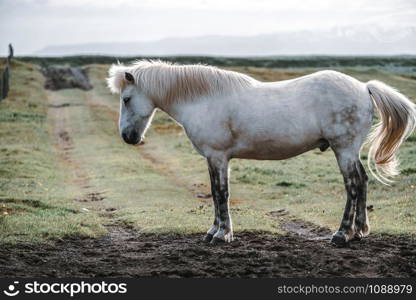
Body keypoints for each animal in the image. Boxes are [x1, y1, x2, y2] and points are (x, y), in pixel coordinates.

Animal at [108, 60, 416, 246]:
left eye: (127, 99)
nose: (128, 137)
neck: (203, 99)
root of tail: (364, 88)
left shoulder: (218, 157)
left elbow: (221, 193)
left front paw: (222, 235)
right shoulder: (213, 159)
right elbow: (215, 193)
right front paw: (213, 231)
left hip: (344, 149)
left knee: (352, 185)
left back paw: (341, 234)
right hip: (349, 151)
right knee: (362, 182)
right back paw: (360, 231)